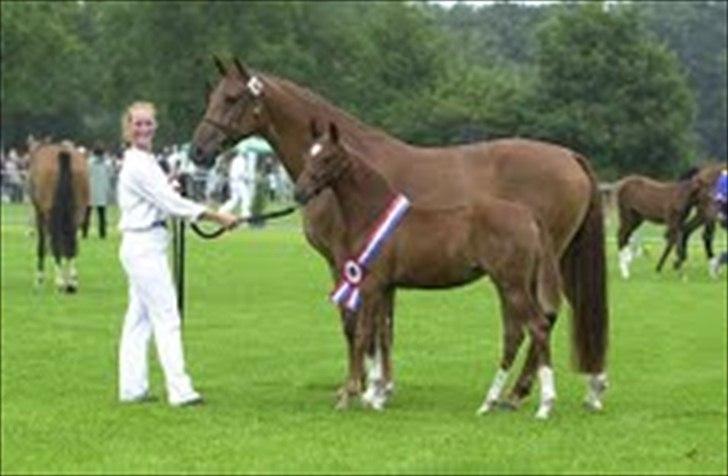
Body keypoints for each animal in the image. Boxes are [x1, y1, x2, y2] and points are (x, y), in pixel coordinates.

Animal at [28, 138, 89, 292]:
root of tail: (63, 154)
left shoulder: (40, 213)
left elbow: (42, 244)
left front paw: (40, 279)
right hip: (77, 211)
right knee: (71, 244)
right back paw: (72, 282)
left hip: (51, 214)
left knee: (56, 243)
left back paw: (60, 282)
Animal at [294, 121, 564, 418]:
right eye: (307, 154)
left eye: (328, 158)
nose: (299, 193)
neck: (372, 215)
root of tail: (529, 216)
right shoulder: (385, 288)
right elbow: (380, 334)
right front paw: (375, 397)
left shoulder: (371, 285)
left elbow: (364, 334)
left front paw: (349, 395)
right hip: (511, 285)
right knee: (514, 334)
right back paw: (488, 402)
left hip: (512, 285)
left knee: (538, 327)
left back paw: (545, 405)